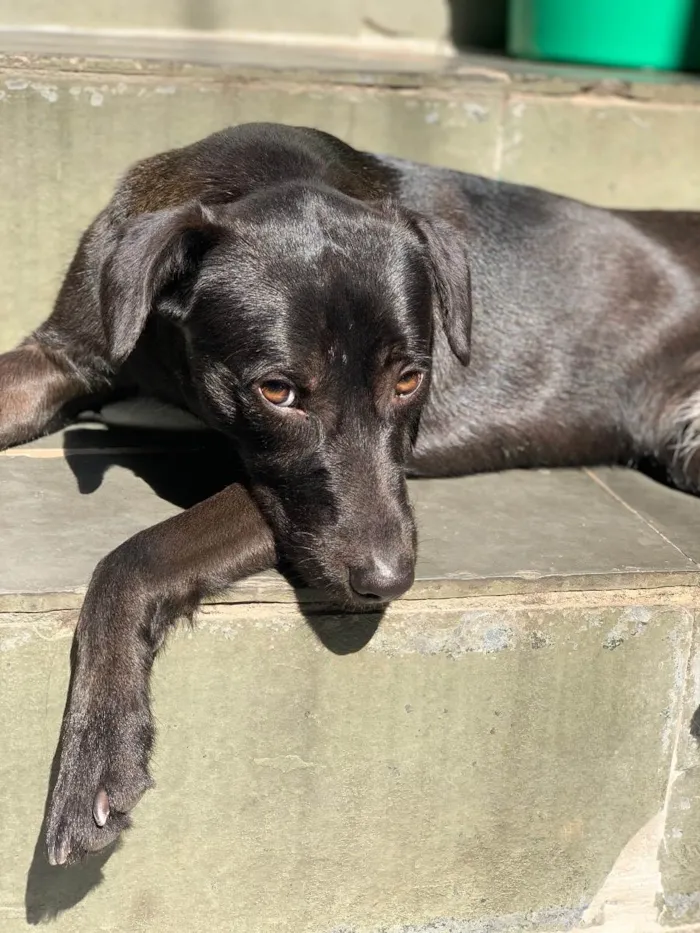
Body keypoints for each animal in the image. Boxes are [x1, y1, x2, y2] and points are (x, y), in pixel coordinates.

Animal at [1, 124, 700, 868]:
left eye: (409, 380)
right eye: (277, 390)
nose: (388, 581)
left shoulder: (287, 499)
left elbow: (134, 558)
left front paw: (98, 750)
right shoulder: (63, 356)